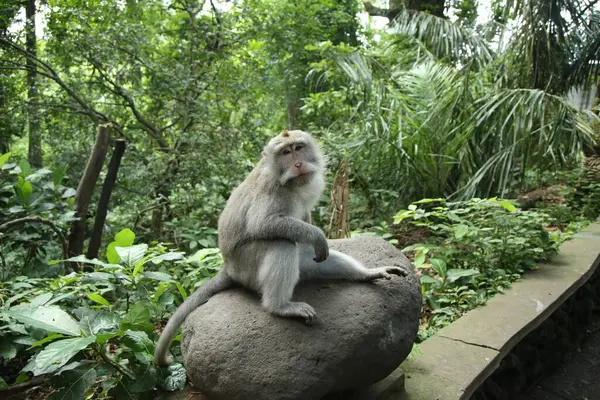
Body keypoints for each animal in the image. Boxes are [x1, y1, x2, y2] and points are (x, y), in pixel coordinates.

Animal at [155, 130, 408, 366]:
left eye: (298, 148)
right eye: (286, 152)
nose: (298, 164)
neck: (291, 182)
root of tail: (228, 267)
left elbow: (306, 225)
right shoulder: (272, 189)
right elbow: (263, 224)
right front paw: (317, 235)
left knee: (306, 256)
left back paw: (367, 274)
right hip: (246, 267)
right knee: (281, 243)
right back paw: (280, 306)